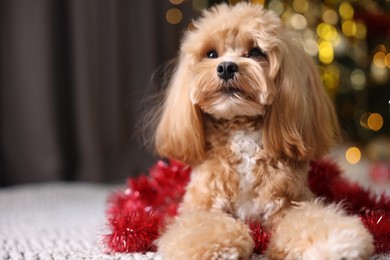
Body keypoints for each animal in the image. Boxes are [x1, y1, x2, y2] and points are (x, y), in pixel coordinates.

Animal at [153, 2, 374, 260]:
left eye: (256, 52)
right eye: (211, 54)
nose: (226, 67)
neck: (242, 131)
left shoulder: (290, 204)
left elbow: (311, 220)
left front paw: (337, 241)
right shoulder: (201, 206)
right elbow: (205, 226)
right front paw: (217, 248)